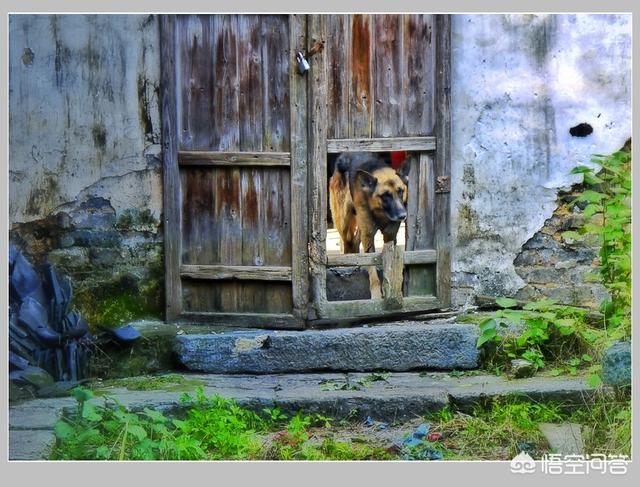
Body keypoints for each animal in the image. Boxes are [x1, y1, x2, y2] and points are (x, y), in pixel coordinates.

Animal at [330, 152, 410, 300]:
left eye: (401, 191)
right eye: (385, 195)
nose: (403, 215)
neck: (380, 212)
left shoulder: (389, 237)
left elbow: (388, 263)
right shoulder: (368, 238)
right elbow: (372, 269)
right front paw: (377, 295)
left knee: (355, 241)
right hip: (344, 222)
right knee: (347, 241)